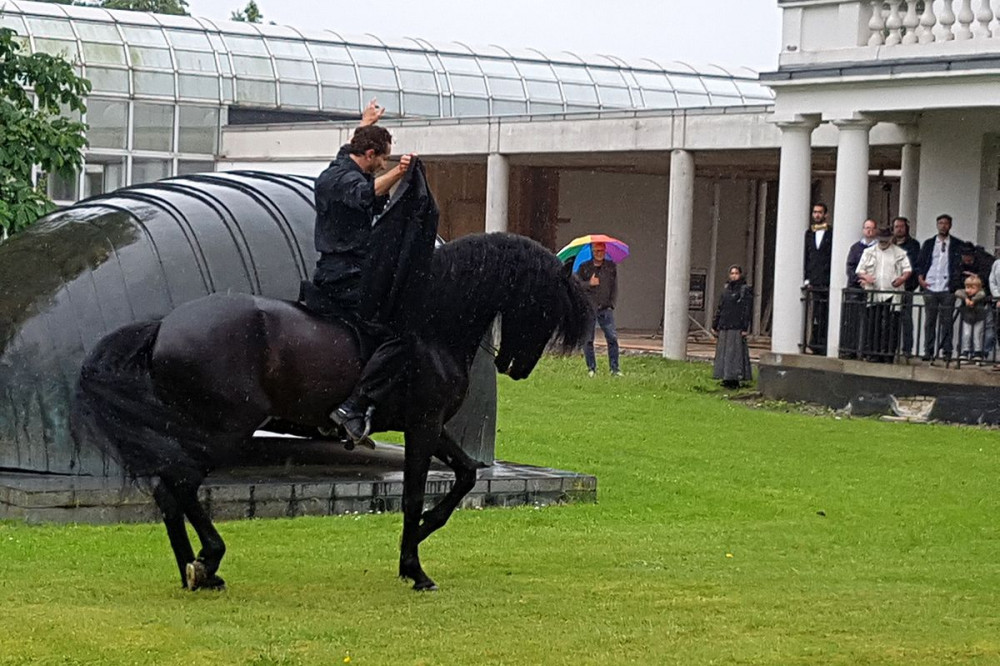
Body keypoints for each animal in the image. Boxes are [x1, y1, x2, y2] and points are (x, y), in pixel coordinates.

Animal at [78, 231, 596, 588]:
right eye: (544, 304)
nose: (516, 368)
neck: (430, 327)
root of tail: (164, 326)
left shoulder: (426, 425)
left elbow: (466, 475)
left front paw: (421, 537)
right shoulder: (424, 426)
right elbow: (413, 495)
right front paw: (414, 569)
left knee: (168, 489)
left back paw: (196, 570)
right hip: (225, 430)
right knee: (182, 483)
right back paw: (208, 559)